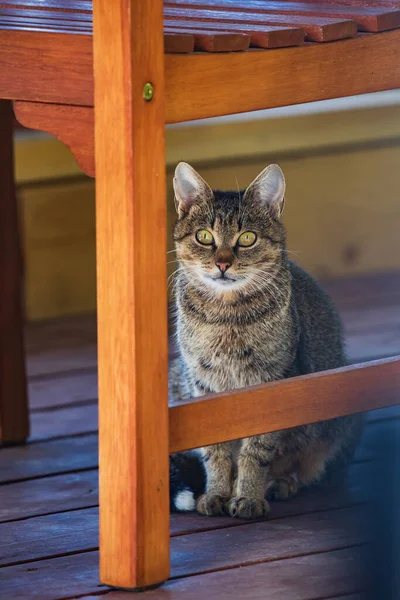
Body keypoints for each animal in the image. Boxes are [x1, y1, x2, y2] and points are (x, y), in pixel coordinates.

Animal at [169, 162, 362, 516]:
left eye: (247, 238)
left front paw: (247, 495)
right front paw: (217, 492)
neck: (226, 316)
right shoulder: (202, 383)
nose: (222, 263)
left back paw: (281, 482)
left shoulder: (271, 383)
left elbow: (256, 450)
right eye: (204, 237)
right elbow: (215, 450)